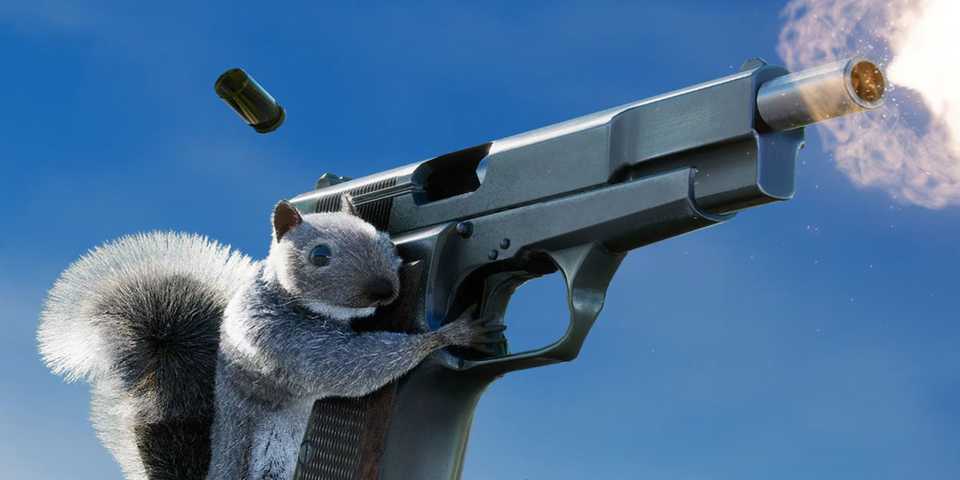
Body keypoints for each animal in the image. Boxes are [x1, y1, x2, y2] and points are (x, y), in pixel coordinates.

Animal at [38, 198, 502, 480]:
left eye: (385, 240)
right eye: (319, 255)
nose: (384, 291)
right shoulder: (277, 337)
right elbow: (345, 367)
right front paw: (449, 333)